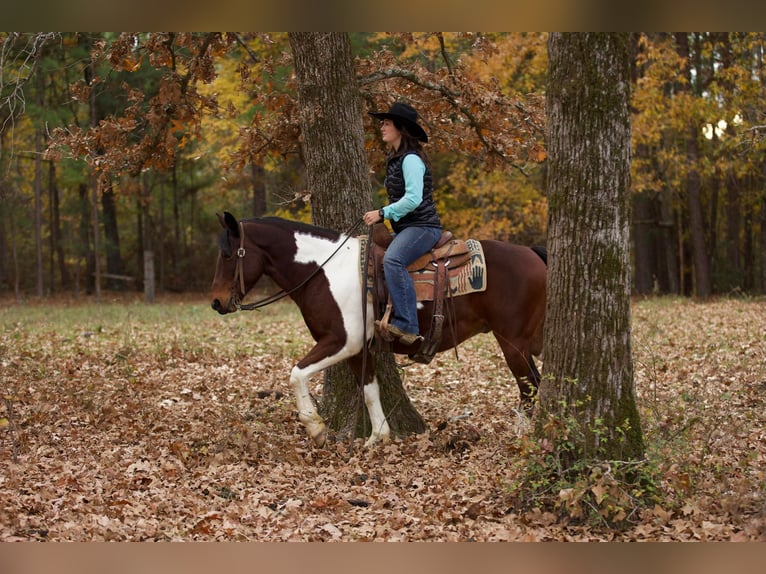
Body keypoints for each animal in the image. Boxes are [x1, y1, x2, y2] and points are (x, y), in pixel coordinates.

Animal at [210, 212, 544, 450]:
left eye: (227, 255)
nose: (216, 302)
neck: (325, 271)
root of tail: (532, 253)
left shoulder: (341, 341)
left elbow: (297, 373)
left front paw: (316, 428)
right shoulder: (359, 348)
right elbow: (370, 389)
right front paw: (377, 437)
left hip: (512, 341)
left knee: (529, 386)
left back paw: (522, 438)